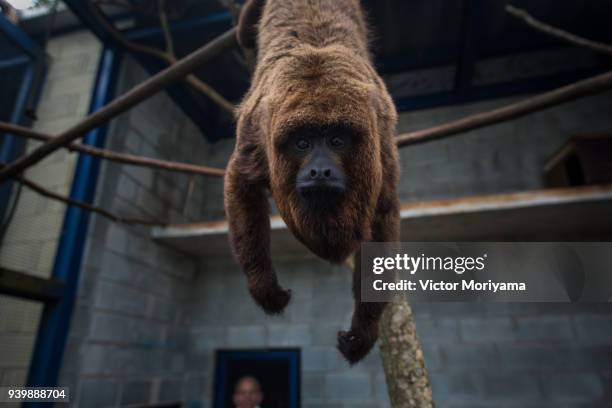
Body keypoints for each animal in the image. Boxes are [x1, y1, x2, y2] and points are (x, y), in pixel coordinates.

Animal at [226, 0, 402, 364]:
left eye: (336, 140)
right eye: (303, 143)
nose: (319, 171)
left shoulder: (382, 145)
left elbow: (383, 220)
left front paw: (363, 330)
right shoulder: (257, 128)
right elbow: (241, 182)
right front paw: (264, 286)